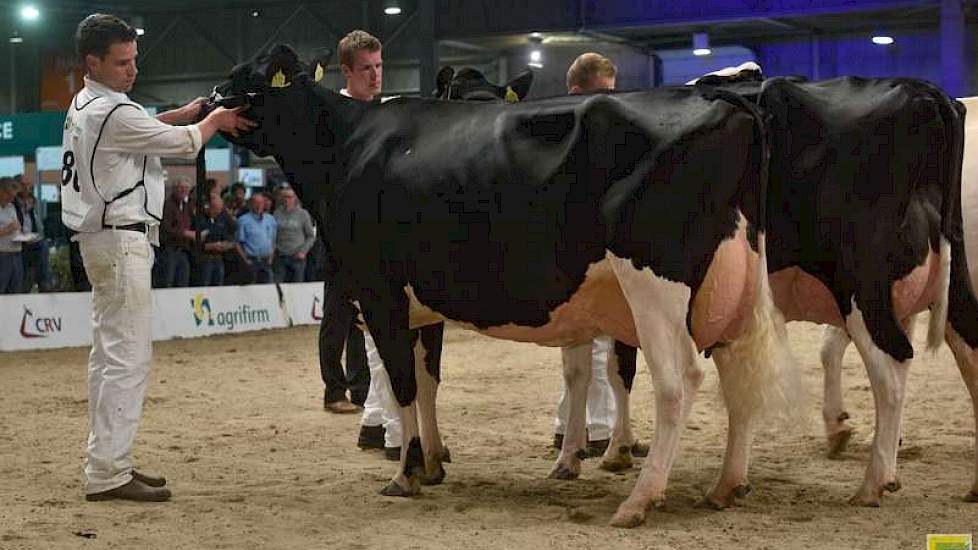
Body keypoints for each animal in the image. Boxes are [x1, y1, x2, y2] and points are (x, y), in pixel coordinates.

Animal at [214, 45, 792, 528]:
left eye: (250, 79)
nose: (212, 102)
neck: (347, 146)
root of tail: (719, 98)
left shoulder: (380, 293)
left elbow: (403, 384)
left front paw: (404, 475)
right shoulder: (424, 305)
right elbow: (428, 380)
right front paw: (433, 463)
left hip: (654, 284)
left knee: (679, 382)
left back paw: (640, 500)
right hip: (730, 285)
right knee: (737, 373)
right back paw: (726, 485)